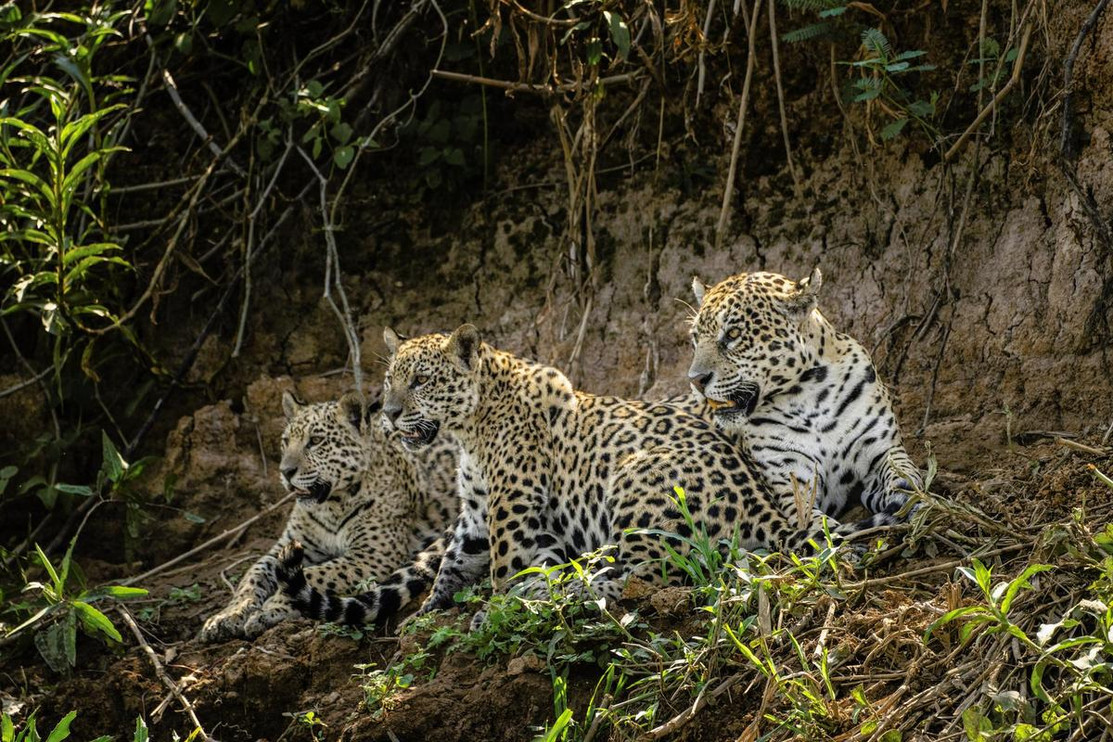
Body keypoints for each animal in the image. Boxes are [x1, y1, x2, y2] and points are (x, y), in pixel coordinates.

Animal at [198, 389, 456, 641]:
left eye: (315, 441)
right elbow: (252, 576)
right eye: (285, 442)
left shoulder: (371, 556)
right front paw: (226, 616)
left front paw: (273, 606)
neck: (329, 507)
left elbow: (317, 574)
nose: (285, 471)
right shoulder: (284, 547)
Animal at [276, 324, 887, 623]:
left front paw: (498, 609)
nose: (389, 412)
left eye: (421, 381)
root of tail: (771, 512)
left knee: (661, 569)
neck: (469, 430)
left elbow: (505, 567)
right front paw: (427, 614)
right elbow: (452, 562)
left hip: (636, 476)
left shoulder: (512, 506)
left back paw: (580, 587)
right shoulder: (475, 514)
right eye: (391, 381)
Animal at [687, 267, 921, 528]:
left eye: (733, 334)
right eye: (695, 338)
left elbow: (903, 473)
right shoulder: (791, 477)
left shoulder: (882, 450)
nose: (695, 380)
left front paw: (912, 498)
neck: (812, 399)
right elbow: (816, 524)